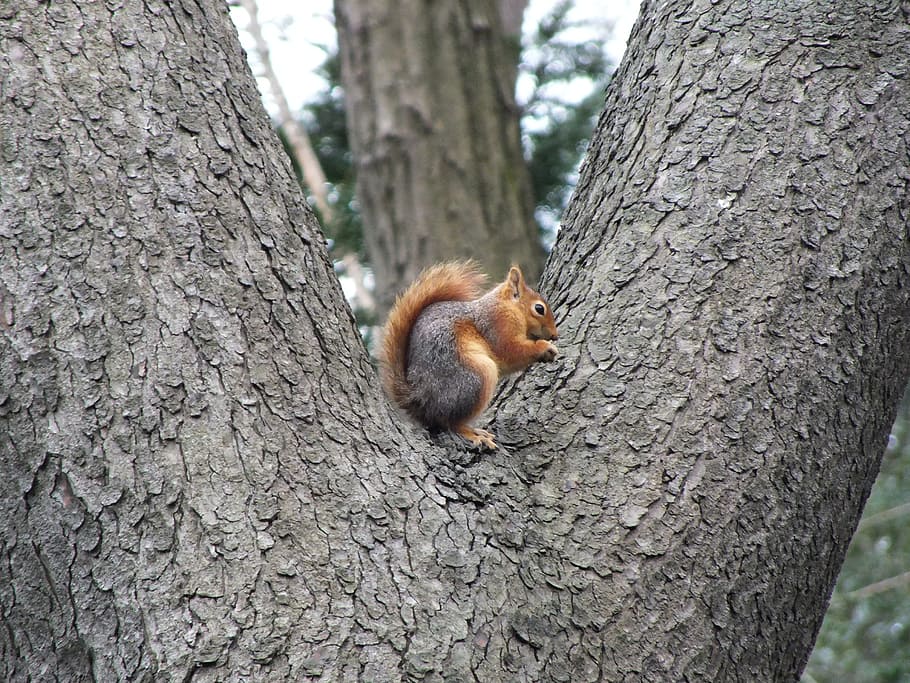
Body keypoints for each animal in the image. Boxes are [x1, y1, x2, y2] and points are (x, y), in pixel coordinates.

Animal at [379, 261, 559, 449]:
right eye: (539, 308)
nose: (555, 335)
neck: (508, 306)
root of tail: (421, 399)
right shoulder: (498, 325)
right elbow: (510, 351)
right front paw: (544, 347)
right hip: (476, 376)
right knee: (449, 422)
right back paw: (473, 435)